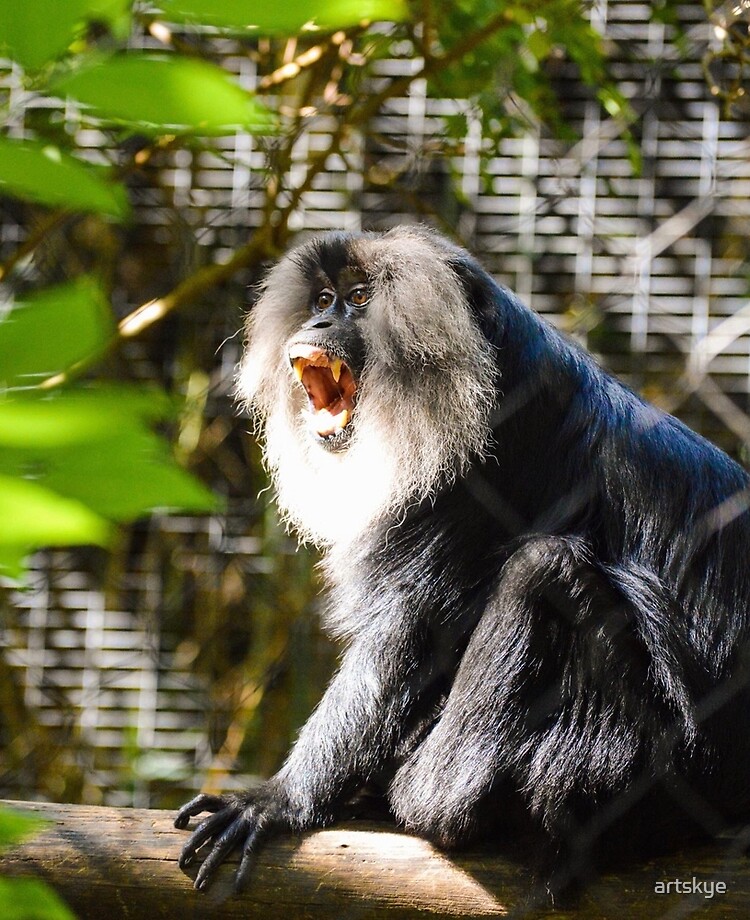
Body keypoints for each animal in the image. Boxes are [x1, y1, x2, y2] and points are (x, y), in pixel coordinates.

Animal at [173, 223, 750, 892]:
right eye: (321, 299)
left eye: (359, 298)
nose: (317, 325)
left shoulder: (475, 470)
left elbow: (408, 633)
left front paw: (279, 798)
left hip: (655, 769)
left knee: (545, 569)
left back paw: (427, 798)